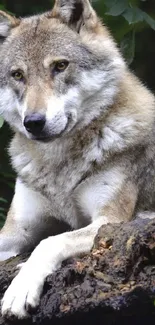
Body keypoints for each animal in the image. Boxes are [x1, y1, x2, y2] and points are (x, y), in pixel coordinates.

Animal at [0, 0, 155, 318]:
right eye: (17, 75)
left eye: (60, 66)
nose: (33, 122)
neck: (59, 166)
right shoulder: (14, 231)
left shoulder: (109, 221)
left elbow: (49, 241)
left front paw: (20, 290)